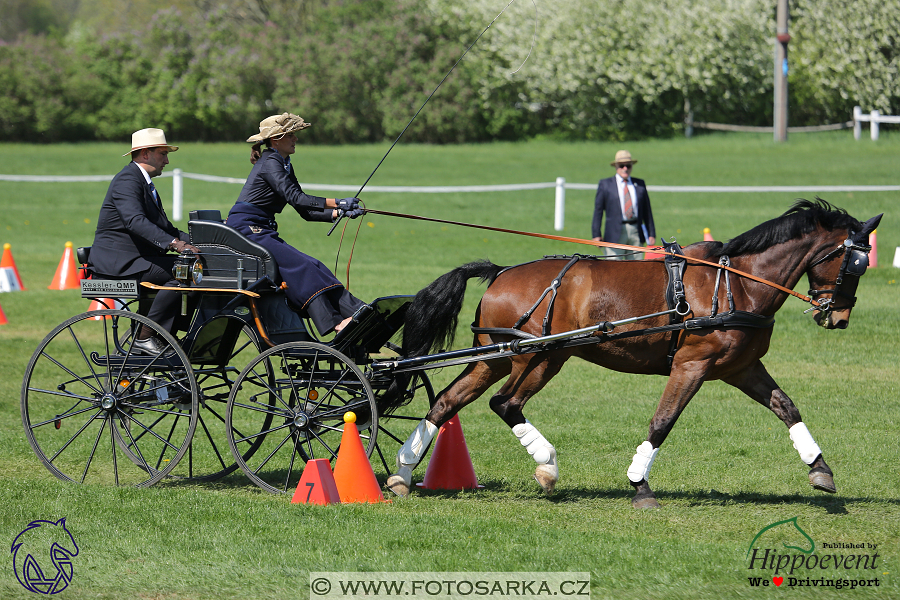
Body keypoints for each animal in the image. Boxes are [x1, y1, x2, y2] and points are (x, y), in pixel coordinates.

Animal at [384, 198, 880, 506]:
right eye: (857, 261)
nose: (837, 318)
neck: (735, 283)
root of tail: (502, 271)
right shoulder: (692, 365)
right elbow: (662, 422)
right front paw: (639, 485)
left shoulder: (741, 367)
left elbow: (786, 407)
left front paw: (820, 470)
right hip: (539, 357)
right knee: (505, 403)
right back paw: (547, 466)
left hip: (497, 357)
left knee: (447, 402)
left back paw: (403, 475)